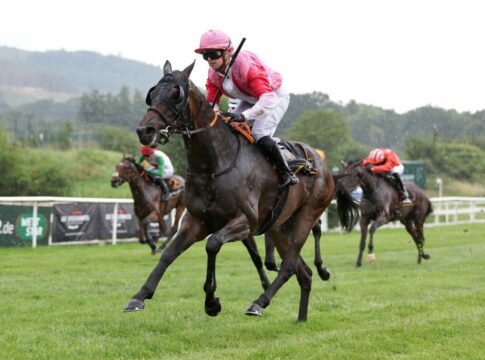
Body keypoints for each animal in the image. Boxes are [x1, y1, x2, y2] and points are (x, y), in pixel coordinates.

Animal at [125, 60, 358, 322]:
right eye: (153, 93)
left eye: (177, 93)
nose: (145, 130)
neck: (214, 165)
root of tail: (325, 170)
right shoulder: (195, 221)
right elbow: (168, 254)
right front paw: (140, 295)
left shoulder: (245, 222)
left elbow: (212, 244)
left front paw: (212, 302)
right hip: (279, 227)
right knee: (303, 273)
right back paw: (300, 318)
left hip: (306, 217)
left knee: (289, 266)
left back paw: (259, 302)